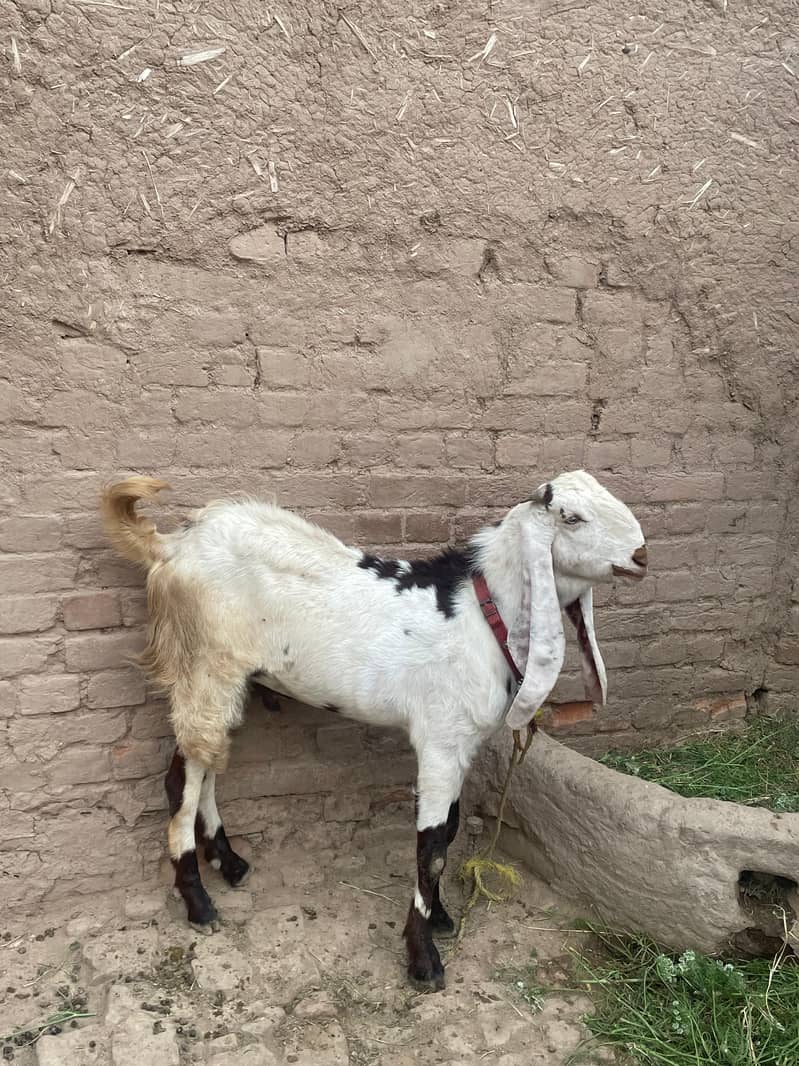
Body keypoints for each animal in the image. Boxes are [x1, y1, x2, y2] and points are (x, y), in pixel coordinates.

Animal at [100, 470, 647, 991]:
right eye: (571, 517)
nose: (641, 556)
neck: (478, 614)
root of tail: (170, 546)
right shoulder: (440, 740)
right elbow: (431, 847)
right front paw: (423, 960)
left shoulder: (461, 743)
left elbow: (449, 831)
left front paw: (441, 917)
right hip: (203, 665)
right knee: (183, 777)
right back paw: (199, 903)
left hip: (228, 680)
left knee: (208, 761)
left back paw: (229, 863)